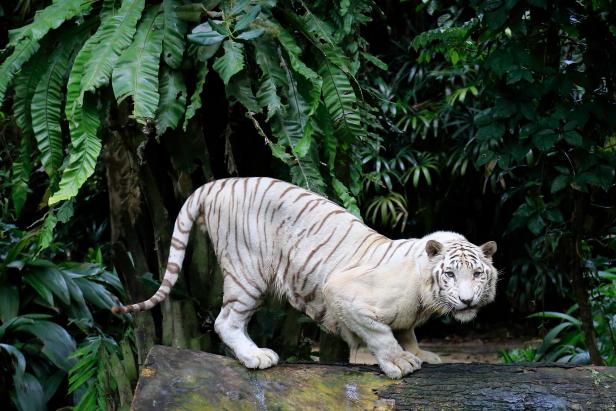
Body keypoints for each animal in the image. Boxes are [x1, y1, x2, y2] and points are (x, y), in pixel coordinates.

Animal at [110, 178, 498, 380]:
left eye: (478, 274)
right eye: (450, 274)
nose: (467, 300)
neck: (425, 294)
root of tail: (217, 183)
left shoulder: (404, 318)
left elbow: (404, 332)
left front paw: (418, 353)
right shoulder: (342, 292)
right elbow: (380, 335)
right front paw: (399, 362)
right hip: (249, 274)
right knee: (226, 321)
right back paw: (256, 357)